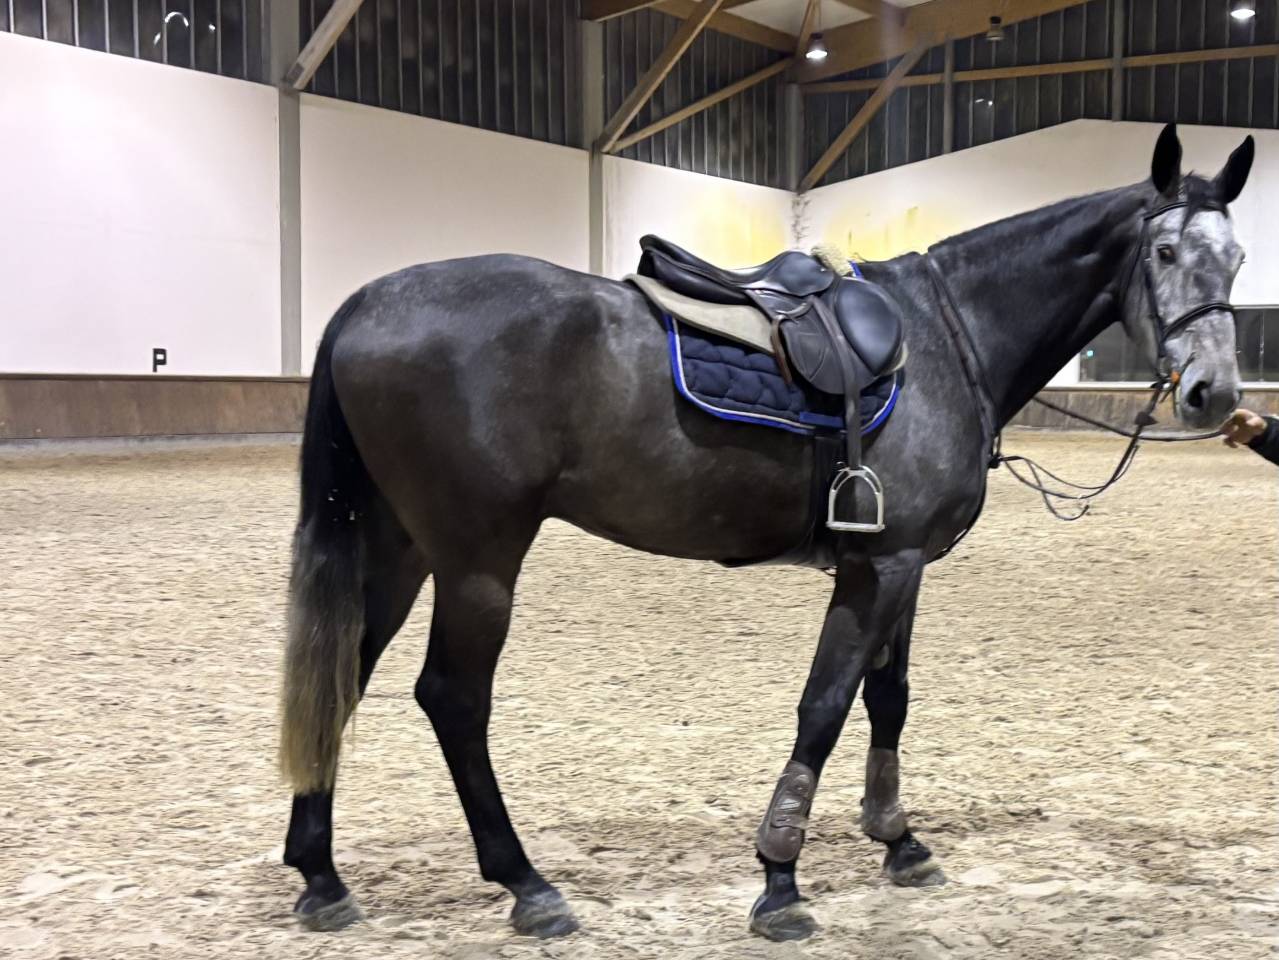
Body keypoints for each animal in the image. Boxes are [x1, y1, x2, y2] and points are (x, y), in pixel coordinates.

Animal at [277, 123, 1253, 941]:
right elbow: (824, 704)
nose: (1214, 395)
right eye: (1165, 250)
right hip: (478, 560)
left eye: (1238, 256)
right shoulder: (880, 565)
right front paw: (780, 878)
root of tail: (365, 303)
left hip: (399, 549)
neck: (946, 338)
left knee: (342, 674)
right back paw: (526, 883)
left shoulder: (902, 566)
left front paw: (897, 841)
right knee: (451, 699)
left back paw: (322, 876)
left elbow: (886, 699)